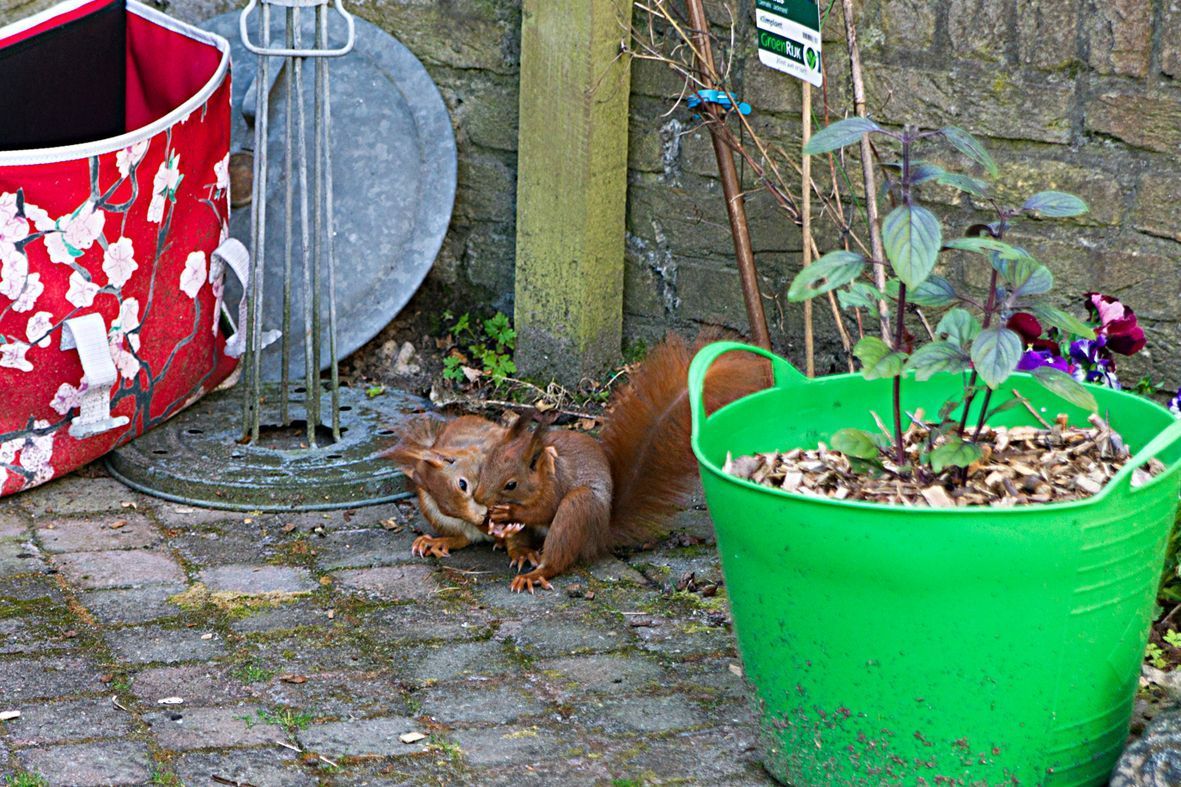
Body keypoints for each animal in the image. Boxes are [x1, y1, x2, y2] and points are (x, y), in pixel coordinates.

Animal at [474, 328, 770, 588]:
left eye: (511, 484)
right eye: (484, 466)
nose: (479, 499)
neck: (543, 472)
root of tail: (601, 534)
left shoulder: (556, 486)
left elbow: (543, 509)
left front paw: (509, 511)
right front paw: (494, 520)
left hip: (579, 508)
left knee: (559, 551)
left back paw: (536, 572)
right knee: (522, 543)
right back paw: (522, 552)